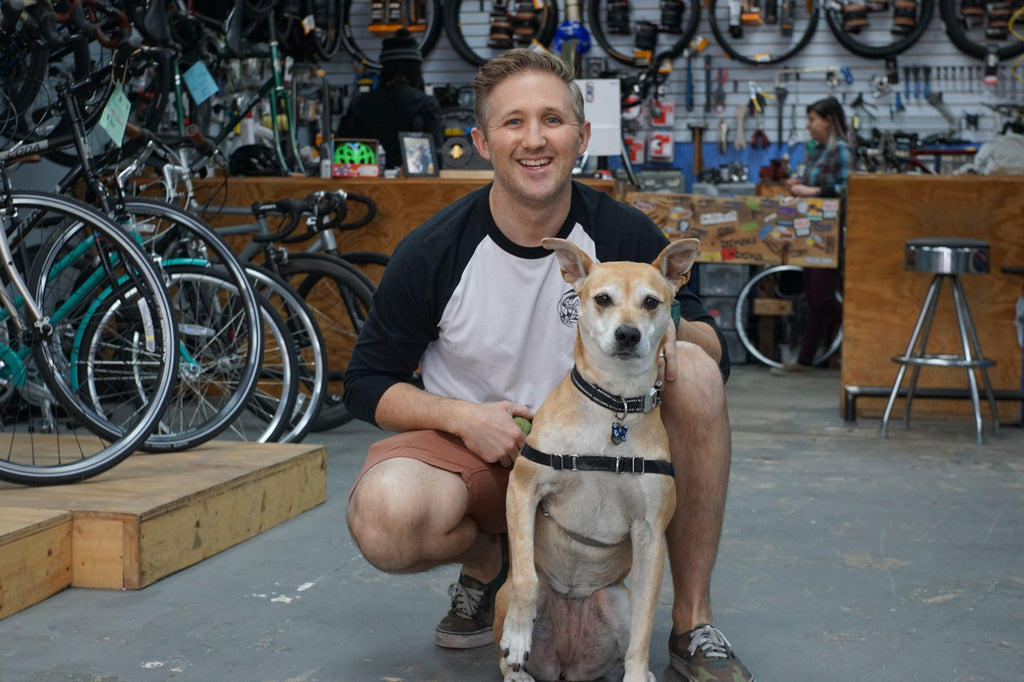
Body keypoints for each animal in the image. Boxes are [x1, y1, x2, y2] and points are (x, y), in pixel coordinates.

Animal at [491, 237, 700, 679]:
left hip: (615, 599)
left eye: (651, 302)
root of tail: (565, 665)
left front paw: (639, 673)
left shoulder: (650, 534)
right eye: (603, 299)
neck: (613, 406)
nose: (628, 334)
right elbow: (525, 580)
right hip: (508, 597)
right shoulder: (522, 489)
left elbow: (644, 627)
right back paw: (519, 668)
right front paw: (518, 636)